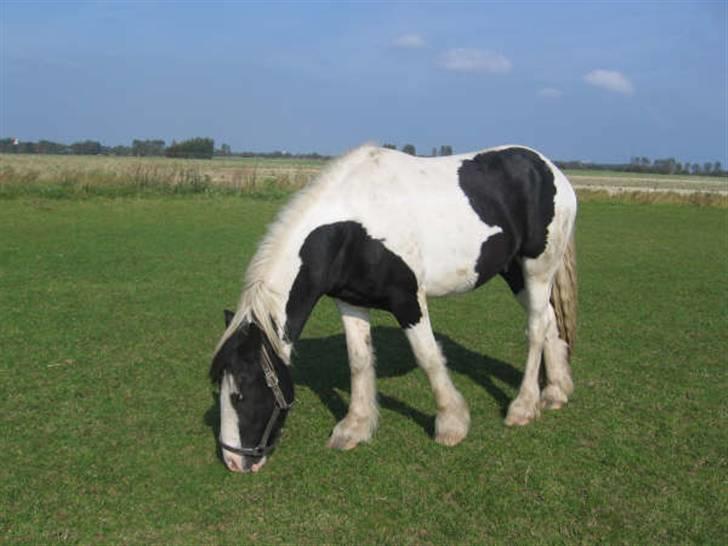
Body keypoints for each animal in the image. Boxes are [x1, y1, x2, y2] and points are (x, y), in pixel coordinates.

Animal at [208, 144, 576, 472]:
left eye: (241, 392)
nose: (234, 461)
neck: (351, 228)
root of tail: (548, 168)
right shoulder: (351, 302)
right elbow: (358, 361)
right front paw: (354, 428)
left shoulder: (408, 299)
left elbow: (428, 356)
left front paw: (451, 424)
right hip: (514, 271)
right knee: (548, 322)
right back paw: (555, 392)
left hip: (536, 268)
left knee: (535, 329)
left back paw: (523, 407)